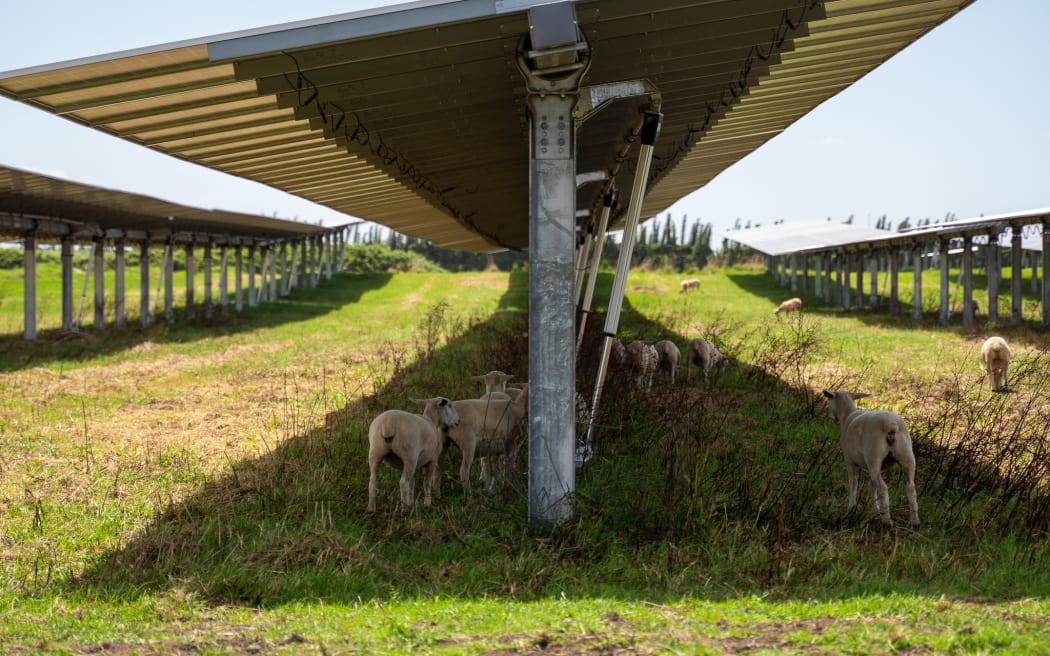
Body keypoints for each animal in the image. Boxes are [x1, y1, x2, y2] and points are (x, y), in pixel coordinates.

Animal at [823, 388, 915, 526]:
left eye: (829, 400)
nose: (830, 417)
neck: (847, 415)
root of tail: (891, 425)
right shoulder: (879, 466)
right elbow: (872, 486)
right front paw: (875, 509)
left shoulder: (849, 460)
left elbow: (853, 483)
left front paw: (851, 508)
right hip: (906, 456)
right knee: (911, 488)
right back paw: (915, 522)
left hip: (874, 457)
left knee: (883, 488)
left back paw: (887, 521)